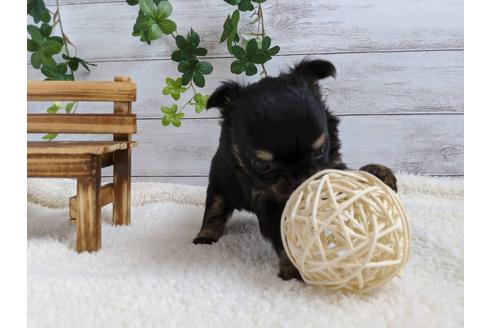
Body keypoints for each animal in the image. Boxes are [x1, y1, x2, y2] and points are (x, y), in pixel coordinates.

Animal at [192, 59, 396, 280]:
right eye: (262, 165)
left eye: (319, 151)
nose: (299, 178)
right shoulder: (267, 200)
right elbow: (283, 234)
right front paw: (293, 266)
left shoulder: (328, 168)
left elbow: (345, 177)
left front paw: (378, 173)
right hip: (219, 184)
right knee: (214, 210)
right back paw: (205, 237)